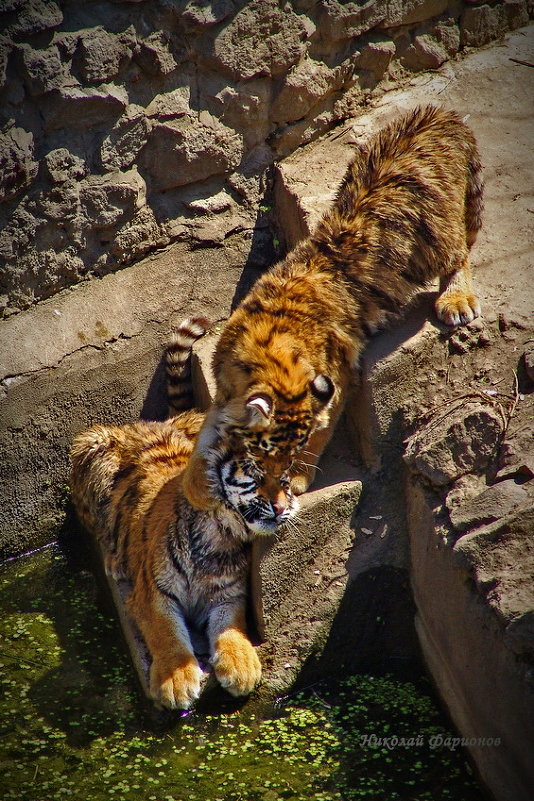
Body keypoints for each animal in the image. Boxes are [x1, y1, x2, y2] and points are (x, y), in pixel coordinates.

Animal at [69, 316, 300, 708]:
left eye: (285, 482)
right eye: (258, 476)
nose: (282, 507)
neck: (220, 537)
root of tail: (162, 420)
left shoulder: (229, 594)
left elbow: (232, 627)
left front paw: (241, 665)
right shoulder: (152, 594)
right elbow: (166, 632)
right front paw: (176, 681)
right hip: (92, 443)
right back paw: (114, 558)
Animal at [181, 105, 486, 504]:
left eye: (299, 444)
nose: (280, 481)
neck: (267, 354)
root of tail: (437, 115)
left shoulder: (337, 378)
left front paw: (297, 477)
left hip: (438, 228)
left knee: (459, 254)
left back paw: (456, 301)